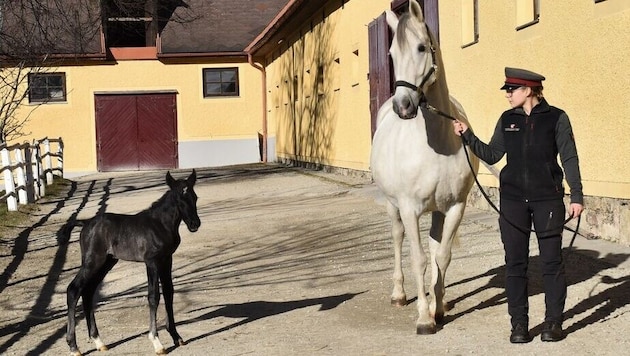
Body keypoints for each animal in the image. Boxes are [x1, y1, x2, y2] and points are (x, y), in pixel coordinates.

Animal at [57, 170, 200, 356]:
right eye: (178, 199)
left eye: (195, 197)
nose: (195, 224)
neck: (159, 224)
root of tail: (86, 222)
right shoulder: (152, 262)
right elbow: (153, 296)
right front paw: (157, 342)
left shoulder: (167, 259)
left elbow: (169, 293)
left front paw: (176, 336)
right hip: (92, 261)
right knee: (74, 289)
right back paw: (74, 347)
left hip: (106, 263)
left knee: (88, 292)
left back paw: (98, 341)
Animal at [370, 0, 478, 334]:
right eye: (391, 54)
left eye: (420, 47)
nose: (403, 106)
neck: (437, 143)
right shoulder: (408, 208)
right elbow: (417, 258)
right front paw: (423, 318)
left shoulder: (454, 206)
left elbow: (441, 255)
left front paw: (438, 308)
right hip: (392, 206)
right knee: (397, 238)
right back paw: (399, 294)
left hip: (437, 210)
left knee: (434, 246)